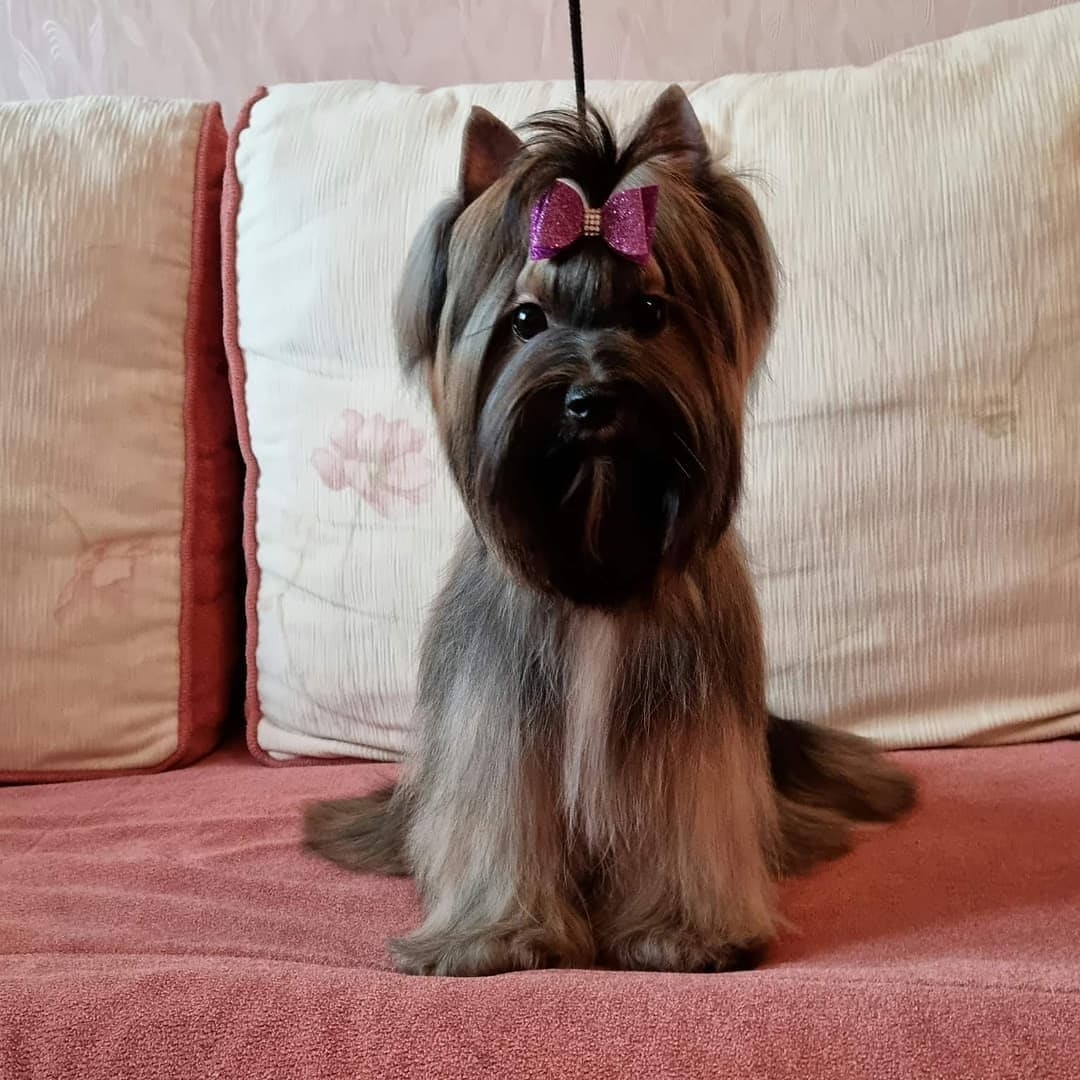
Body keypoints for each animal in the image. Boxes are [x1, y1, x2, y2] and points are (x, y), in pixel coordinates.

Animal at [304, 85, 916, 977]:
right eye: (525, 320)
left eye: (652, 311)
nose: (589, 398)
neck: (595, 537)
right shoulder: (500, 714)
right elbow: (500, 815)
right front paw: (494, 934)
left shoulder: (688, 719)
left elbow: (687, 815)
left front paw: (683, 932)